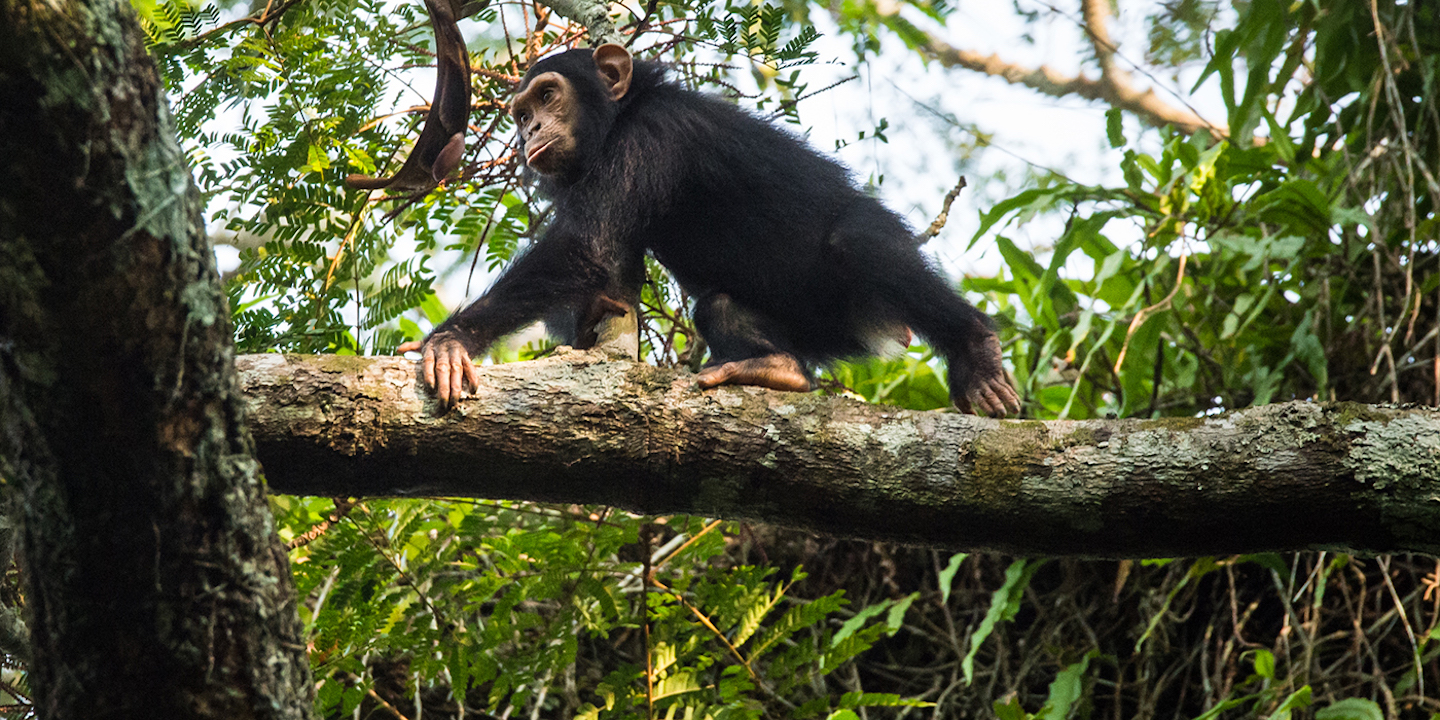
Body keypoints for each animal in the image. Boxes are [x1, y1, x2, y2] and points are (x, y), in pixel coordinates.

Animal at [400, 43, 1019, 417]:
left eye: (548, 96)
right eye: (522, 113)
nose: (529, 131)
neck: (621, 116)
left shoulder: (653, 136)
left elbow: (582, 248)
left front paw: (450, 342)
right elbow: (601, 267)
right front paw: (593, 312)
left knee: (859, 243)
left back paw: (976, 352)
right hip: (819, 332)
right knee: (722, 308)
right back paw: (780, 370)